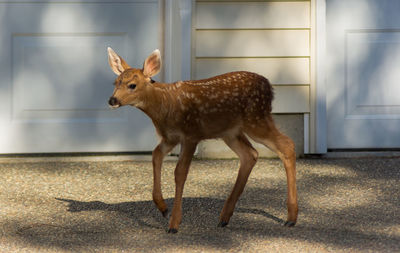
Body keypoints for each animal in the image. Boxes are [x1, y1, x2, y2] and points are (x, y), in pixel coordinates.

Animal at [106, 47, 296, 233]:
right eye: (115, 83)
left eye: (132, 85)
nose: (112, 100)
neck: (165, 106)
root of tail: (269, 86)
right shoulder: (170, 137)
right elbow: (156, 155)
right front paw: (163, 208)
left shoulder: (191, 134)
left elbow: (180, 172)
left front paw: (174, 223)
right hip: (231, 132)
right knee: (251, 154)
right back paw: (224, 218)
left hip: (256, 119)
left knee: (287, 145)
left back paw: (291, 218)